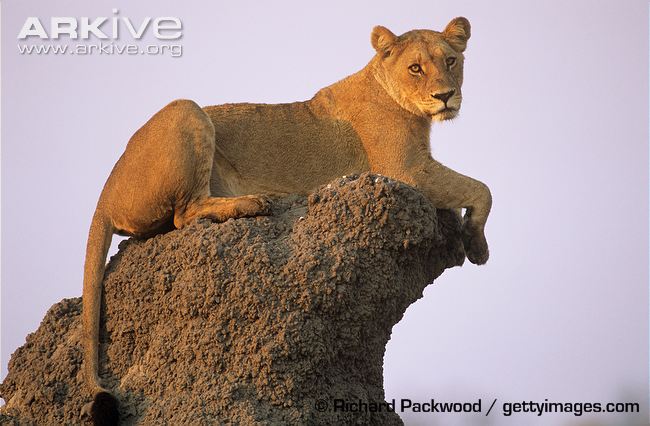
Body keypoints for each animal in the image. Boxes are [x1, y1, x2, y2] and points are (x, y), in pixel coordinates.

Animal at [81, 17, 491, 424]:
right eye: (416, 68)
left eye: (451, 61)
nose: (445, 96)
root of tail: (104, 195)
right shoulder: (405, 171)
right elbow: (482, 188)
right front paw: (477, 246)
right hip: (187, 110)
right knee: (184, 213)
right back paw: (249, 204)